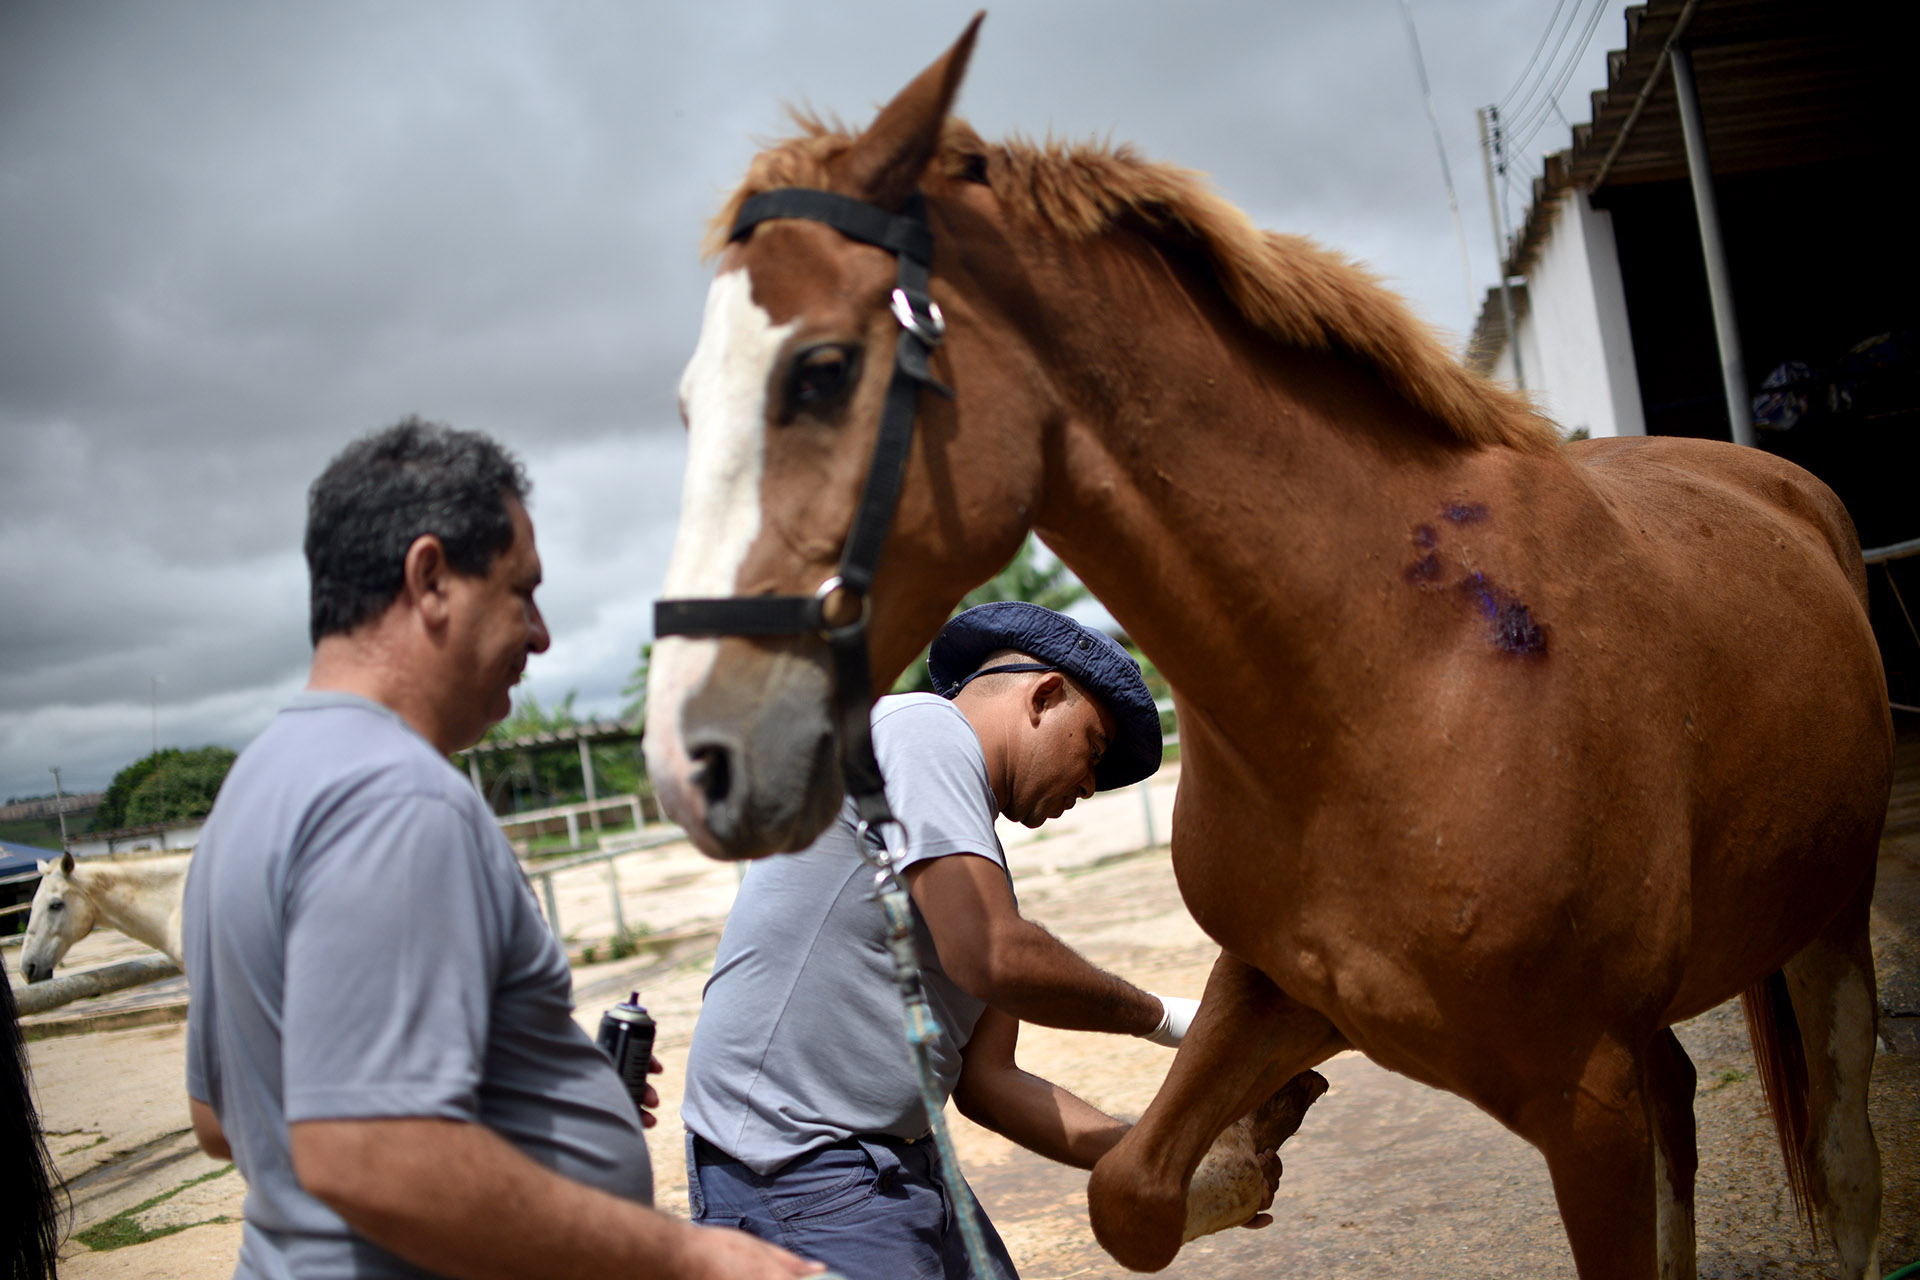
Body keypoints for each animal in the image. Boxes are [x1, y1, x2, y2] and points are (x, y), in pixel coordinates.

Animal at [645, 22, 1889, 1280]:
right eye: (692, 401)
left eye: (820, 371)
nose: (692, 761)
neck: (1391, 682)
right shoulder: (1283, 986)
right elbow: (1128, 1191)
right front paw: (1246, 1155)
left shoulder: (1584, 1092)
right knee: (1690, 1097)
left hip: (1828, 918)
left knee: (1844, 1142)